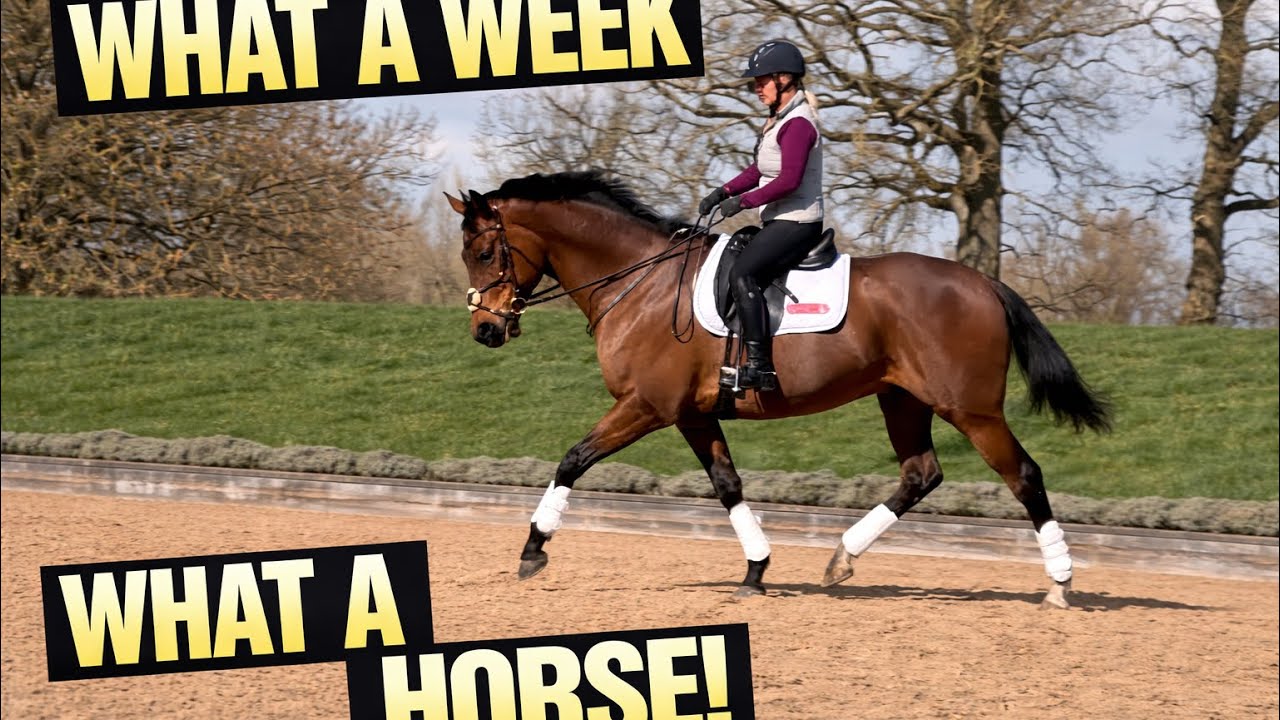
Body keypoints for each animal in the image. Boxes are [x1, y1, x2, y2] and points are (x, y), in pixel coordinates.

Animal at [446, 170, 1110, 609]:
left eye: (484, 251)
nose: (485, 331)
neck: (640, 283)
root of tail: (982, 283)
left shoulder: (645, 407)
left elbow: (573, 459)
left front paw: (533, 548)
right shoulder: (691, 415)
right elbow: (727, 485)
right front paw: (756, 569)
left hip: (970, 409)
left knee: (1024, 475)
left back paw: (1060, 583)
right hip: (902, 399)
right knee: (921, 474)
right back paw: (841, 559)